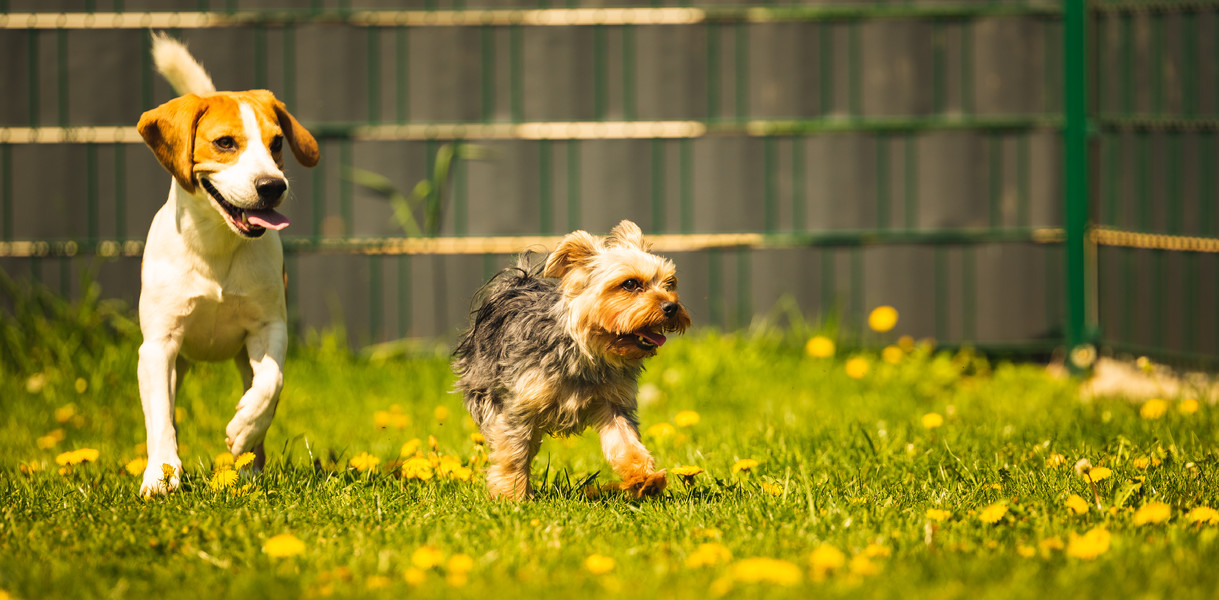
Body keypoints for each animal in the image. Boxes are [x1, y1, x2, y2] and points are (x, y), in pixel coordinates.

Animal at [135, 31, 321, 497]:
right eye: (224, 143)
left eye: (277, 143)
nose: (273, 186)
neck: (217, 248)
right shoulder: (158, 345)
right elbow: (160, 419)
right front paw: (161, 475)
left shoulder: (268, 328)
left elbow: (271, 382)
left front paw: (244, 430)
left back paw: (250, 463)